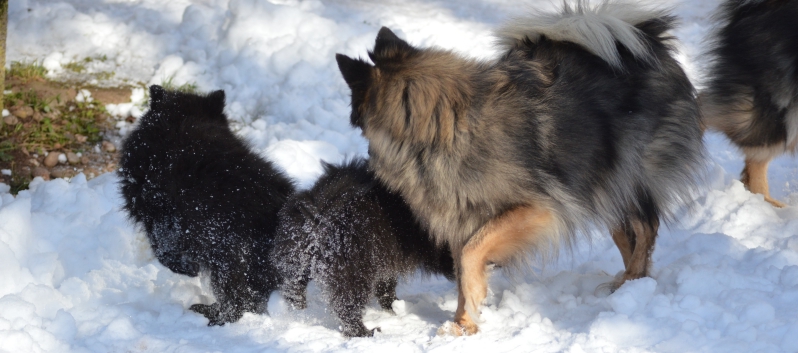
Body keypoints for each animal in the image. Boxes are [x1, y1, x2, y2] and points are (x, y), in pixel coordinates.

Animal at [117, 85, 296, 324]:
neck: (182, 124)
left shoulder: (162, 215)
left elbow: (162, 249)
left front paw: (187, 268)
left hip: (229, 257)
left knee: (239, 300)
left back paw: (212, 315)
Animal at [338, 2, 708, 332]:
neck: (446, 127)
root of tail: (649, 42)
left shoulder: (537, 209)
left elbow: (471, 254)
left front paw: (466, 317)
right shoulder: (462, 217)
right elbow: (463, 269)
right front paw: (463, 322)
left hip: (627, 173)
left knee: (646, 226)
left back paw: (632, 282)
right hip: (598, 185)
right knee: (627, 233)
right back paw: (628, 282)